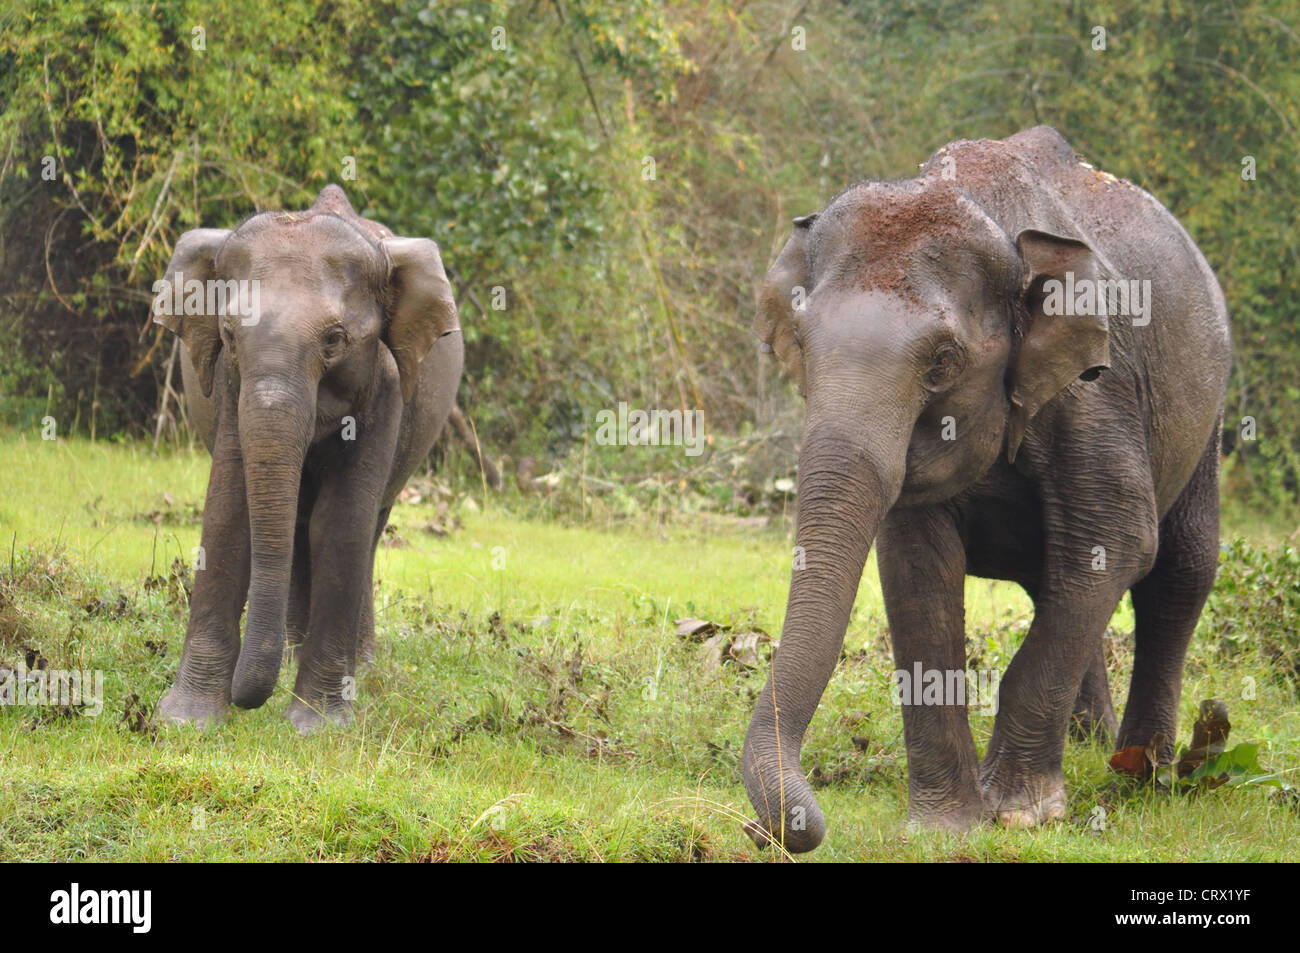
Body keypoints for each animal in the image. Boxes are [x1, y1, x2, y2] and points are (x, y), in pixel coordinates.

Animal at [154, 187, 465, 738]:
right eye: (228, 335)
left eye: (335, 340)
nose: (247, 701)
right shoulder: (231, 387)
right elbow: (229, 516)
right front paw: (186, 721)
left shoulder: (385, 388)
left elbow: (339, 526)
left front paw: (315, 727)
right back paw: (293, 653)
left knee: (366, 530)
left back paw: (360, 665)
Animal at [743, 124, 1227, 847]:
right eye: (799, 341)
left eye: (943, 360)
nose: (777, 827)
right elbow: (917, 569)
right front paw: (944, 827)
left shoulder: (1097, 392)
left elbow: (1119, 538)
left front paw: (1021, 812)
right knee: (1058, 578)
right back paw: (1092, 743)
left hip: (1208, 408)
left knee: (1178, 569)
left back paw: (1143, 774)